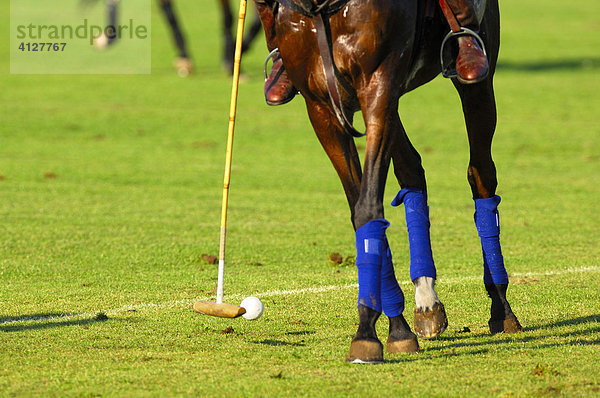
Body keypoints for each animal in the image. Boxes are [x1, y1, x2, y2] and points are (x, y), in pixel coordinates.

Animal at [270, 0, 524, 362]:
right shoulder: (322, 107)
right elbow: (362, 210)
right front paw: (394, 327)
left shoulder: (379, 85)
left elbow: (368, 207)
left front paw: (368, 331)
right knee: (412, 171)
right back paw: (427, 301)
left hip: (475, 77)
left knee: (481, 173)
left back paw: (501, 307)